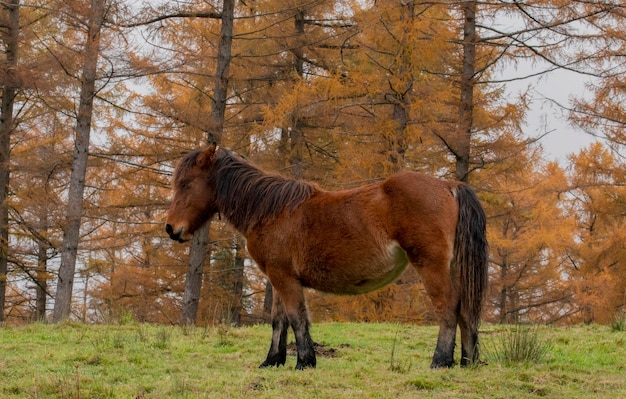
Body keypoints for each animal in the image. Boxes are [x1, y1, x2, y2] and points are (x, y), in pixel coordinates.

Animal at [166, 143, 488, 368]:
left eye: (186, 184)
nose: (171, 229)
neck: (270, 211)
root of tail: (449, 186)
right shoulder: (278, 278)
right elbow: (279, 320)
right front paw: (272, 361)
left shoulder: (284, 278)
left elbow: (297, 317)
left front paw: (304, 362)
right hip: (455, 268)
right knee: (466, 309)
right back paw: (467, 361)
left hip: (431, 265)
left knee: (448, 307)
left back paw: (440, 361)